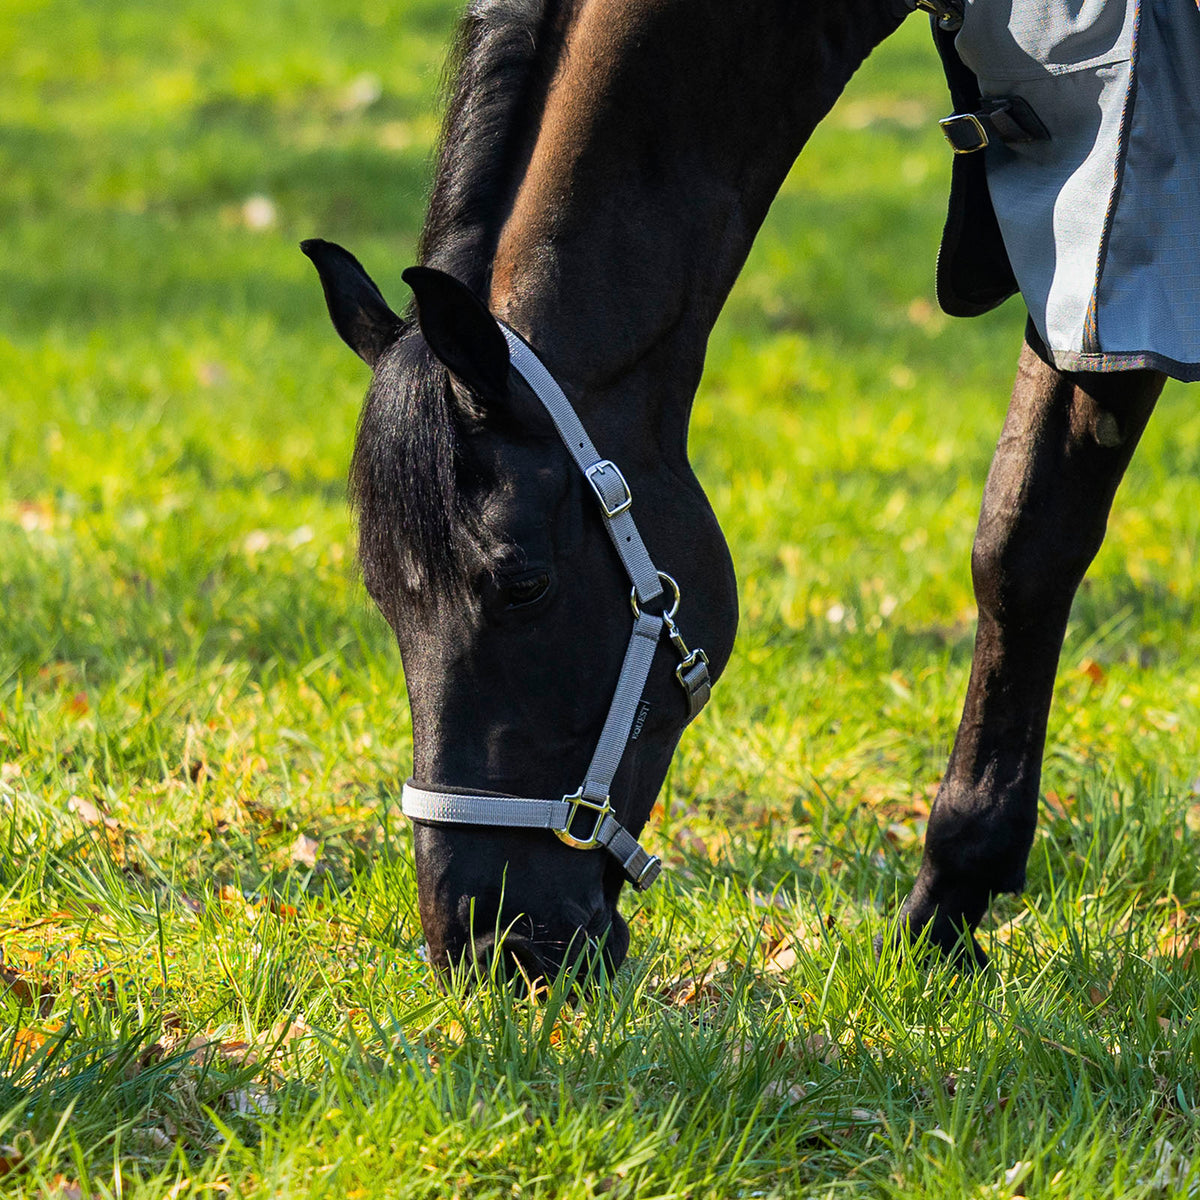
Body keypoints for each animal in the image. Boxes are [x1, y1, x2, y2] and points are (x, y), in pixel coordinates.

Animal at [302, 0, 1177, 981]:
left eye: (522, 584)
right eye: (381, 595)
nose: (488, 948)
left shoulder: (1102, 240)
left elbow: (1022, 545)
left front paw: (950, 903)